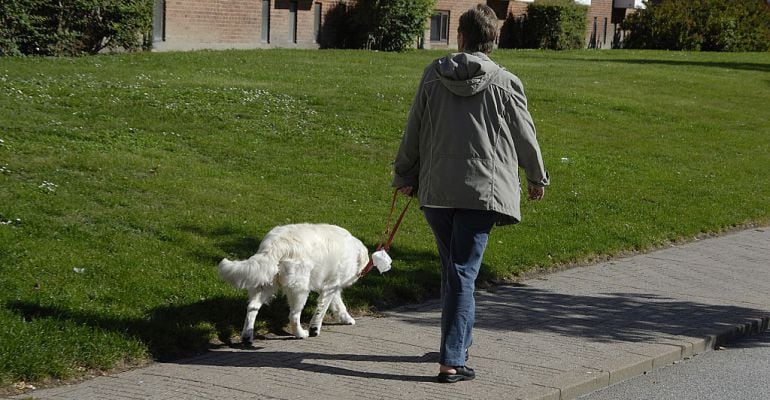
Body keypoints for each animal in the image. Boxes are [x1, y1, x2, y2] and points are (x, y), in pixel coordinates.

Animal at [218, 223, 370, 342]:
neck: (355, 252)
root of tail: (275, 245)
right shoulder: (331, 286)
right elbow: (322, 310)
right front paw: (315, 328)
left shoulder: (330, 287)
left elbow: (338, 304)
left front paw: (346, 318)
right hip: (300, 290)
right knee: (294, 315)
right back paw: (300, 333)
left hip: (265, 283)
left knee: (252, 308)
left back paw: (247, 336)